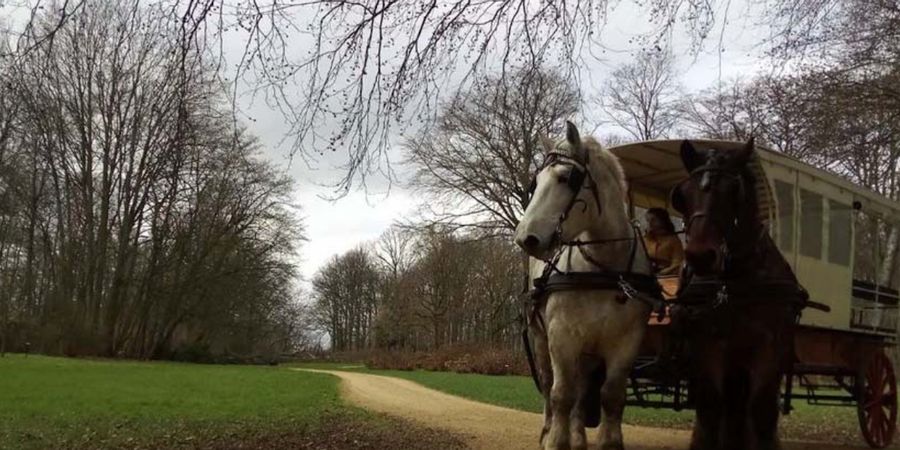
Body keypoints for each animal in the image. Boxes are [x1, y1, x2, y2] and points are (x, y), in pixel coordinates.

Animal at [512, 122, 652, 450]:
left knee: (584, 386)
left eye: (566, 178)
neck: (604, 268)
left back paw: (577, 437)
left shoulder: (627, 343)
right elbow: (561, 394)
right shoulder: (561, 337)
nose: (526, 238)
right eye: (536, 183)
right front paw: (555, 440)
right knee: (551, 384)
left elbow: (611, 396)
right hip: (541, 338)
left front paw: (609, 443)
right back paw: (550, 429)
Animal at [668, 140, 808, 450]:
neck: (735, 284)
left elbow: (762, 411)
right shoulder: (708, 346)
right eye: (682, 194)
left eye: (734, 191)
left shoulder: (769, 348)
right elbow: (710, 410)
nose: (700, 256)